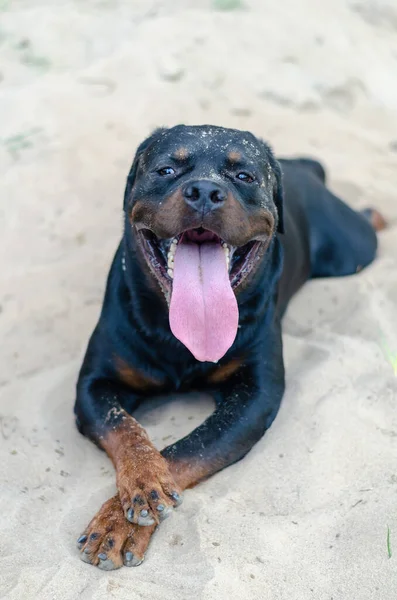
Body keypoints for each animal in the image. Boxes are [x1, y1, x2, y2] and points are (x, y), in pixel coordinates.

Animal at [73, 124, 384, 568]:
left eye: (244, 176)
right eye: (166, 169)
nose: (204, 190)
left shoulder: (256, 395)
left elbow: (189, 447)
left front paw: (124, 518)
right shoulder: (94, 385)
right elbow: (126, 430)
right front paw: (142, 486)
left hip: (353, 249)